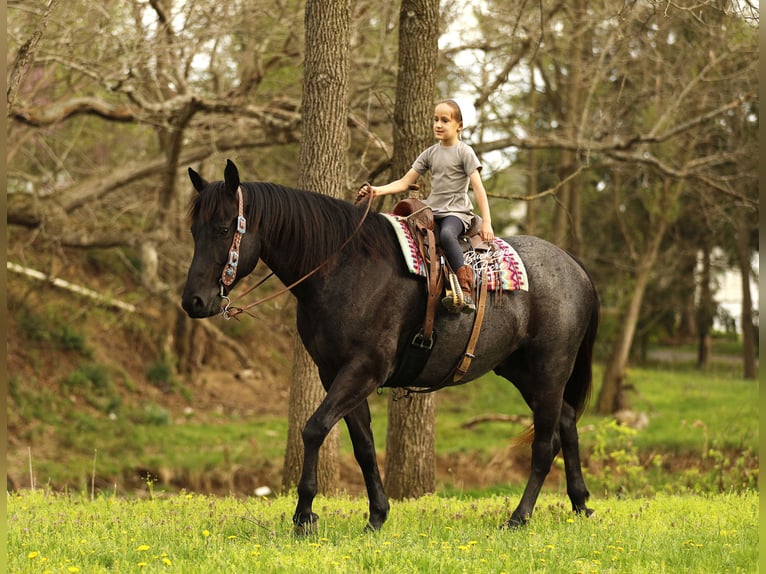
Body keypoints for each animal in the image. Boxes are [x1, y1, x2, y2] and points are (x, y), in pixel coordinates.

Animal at [181, 159, 599, 532]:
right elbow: (363, 445)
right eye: (194, 230)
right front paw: (377, 515)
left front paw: (304, 515)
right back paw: (580, 504)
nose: (194, 301)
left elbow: (314, 428)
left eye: (223, 228)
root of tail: (575, 266)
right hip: (524, 372)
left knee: (544, 443)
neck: (345, 267)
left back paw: (519, 516)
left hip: (549, 370)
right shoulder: (336, 373)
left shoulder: (363, 370)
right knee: (566, 424)